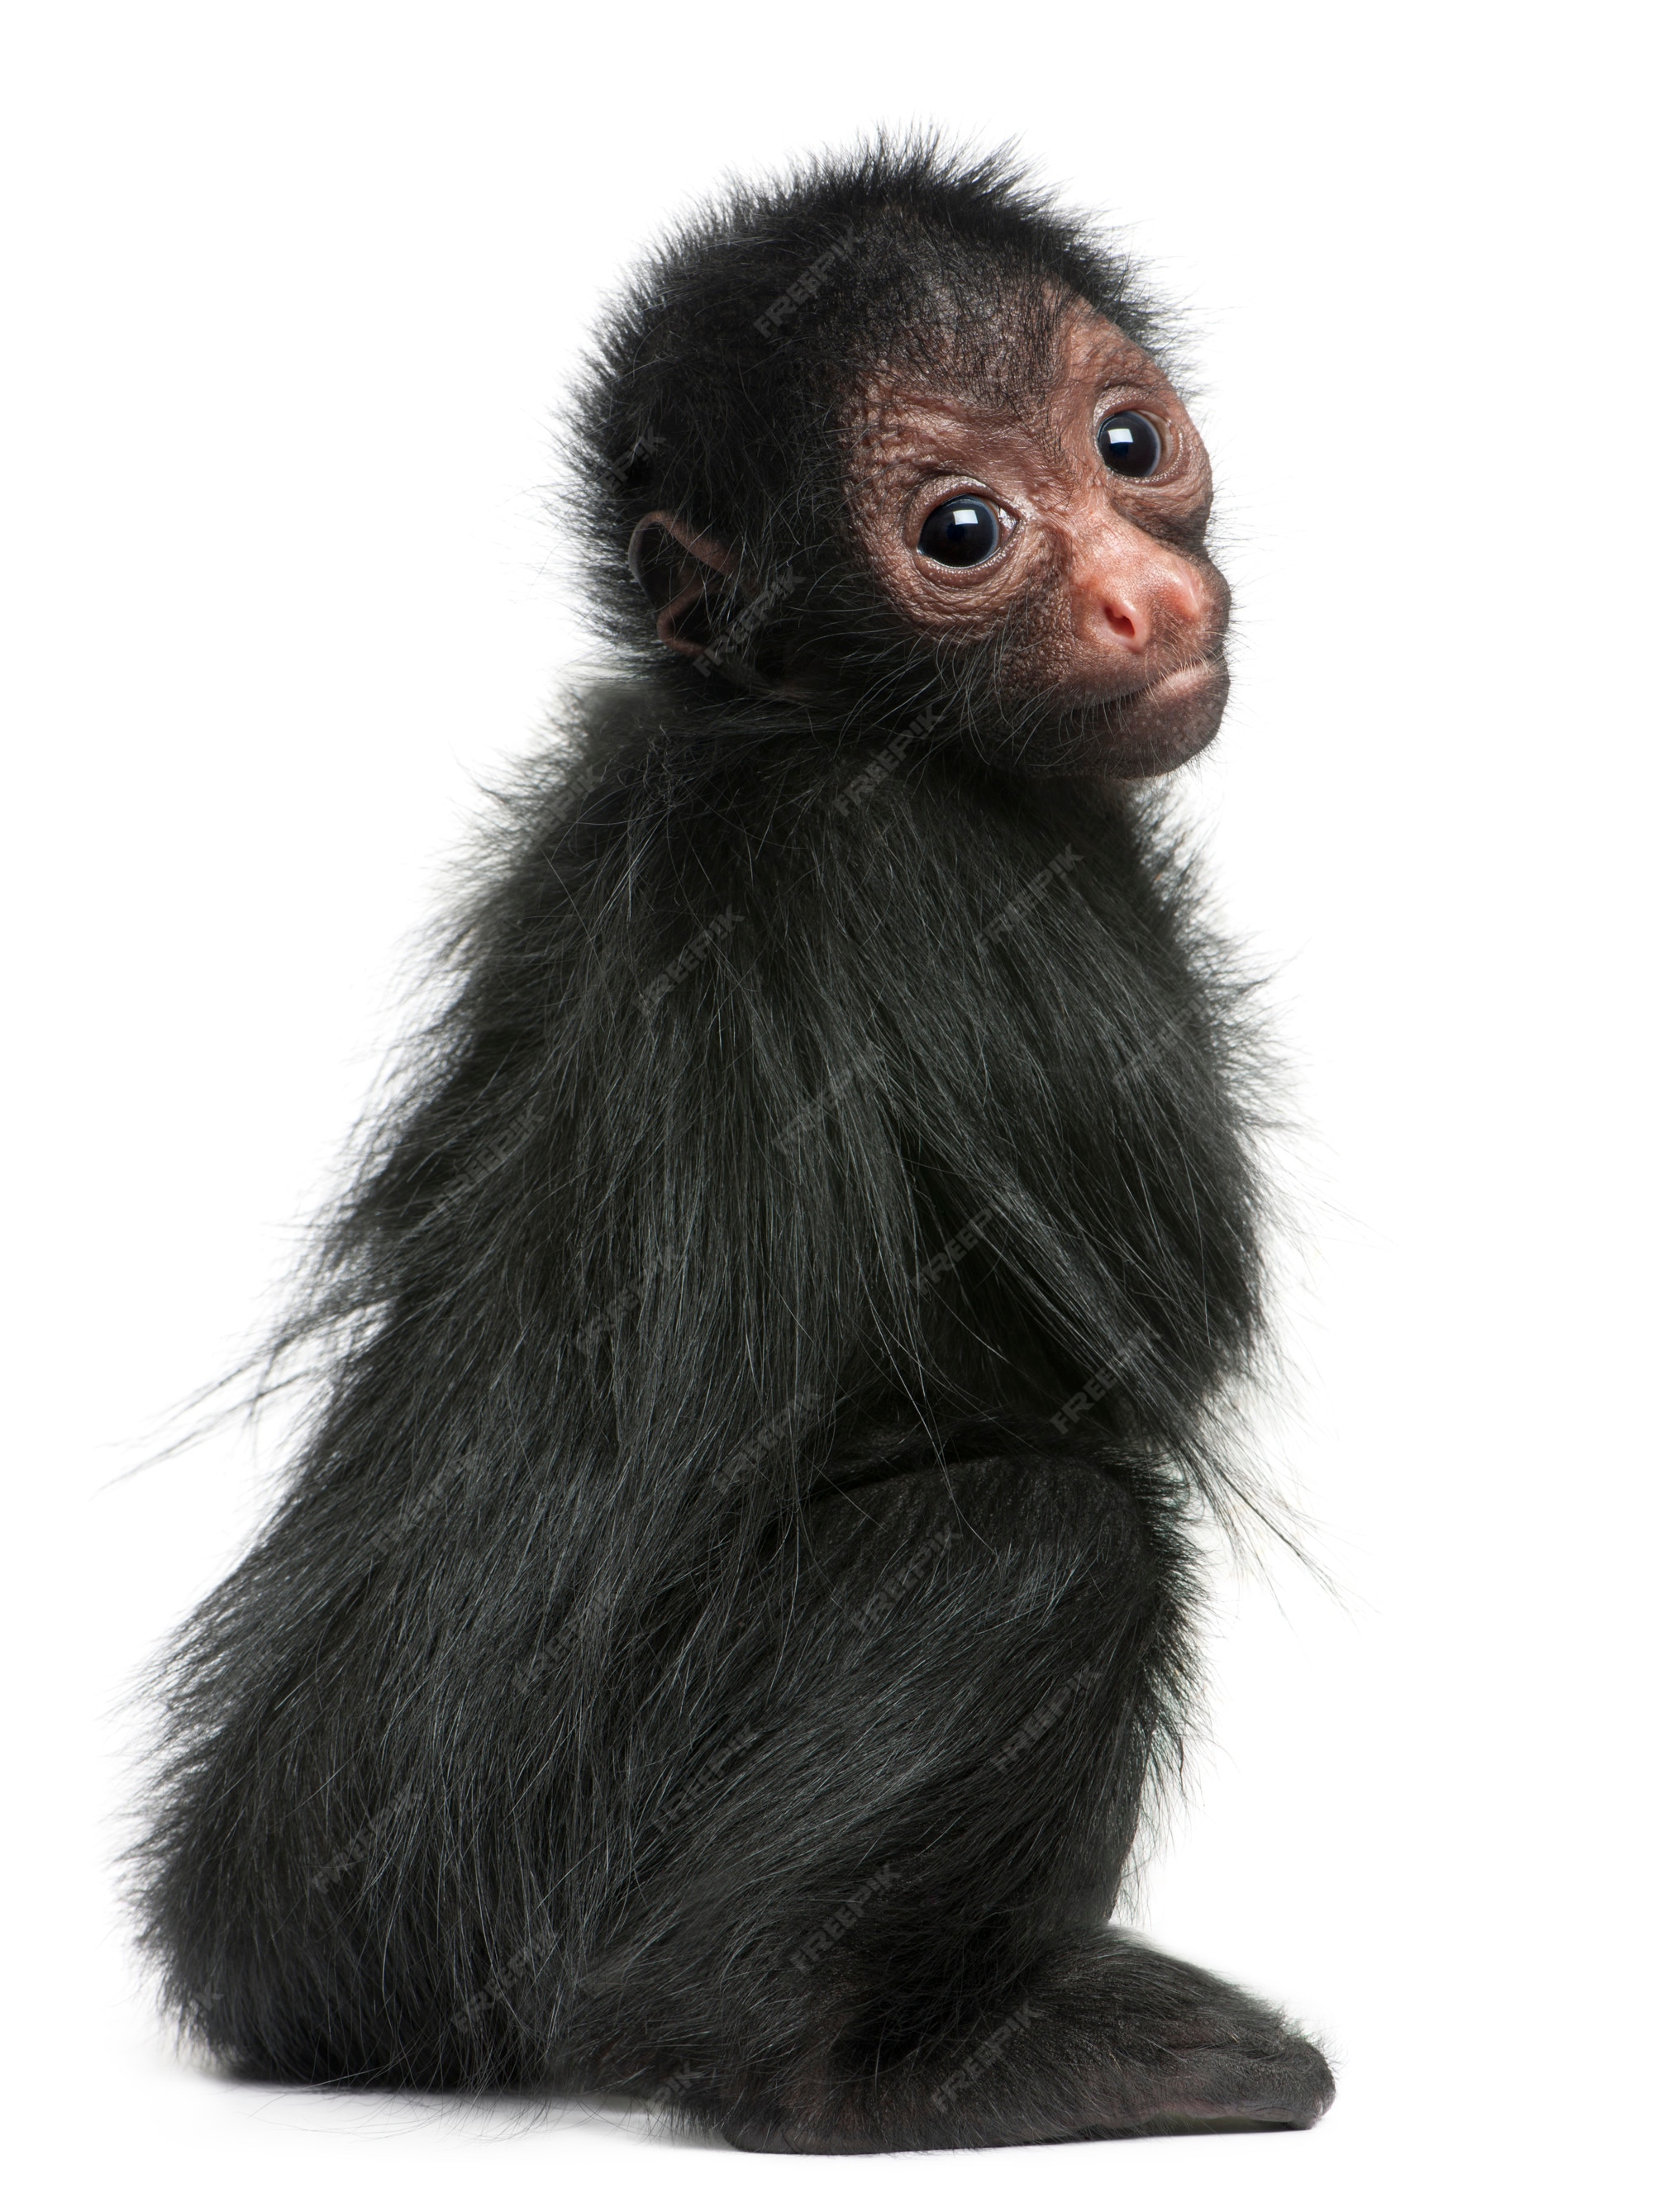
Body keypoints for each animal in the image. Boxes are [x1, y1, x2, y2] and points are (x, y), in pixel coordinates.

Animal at [135, 133, 1336, 2141]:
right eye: (961, 533)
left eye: (1126, 443)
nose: (1134, 594)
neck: (795, 716)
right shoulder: (920, 857)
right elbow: (1151, 1343)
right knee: (1041, 1534)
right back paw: (865, 2069)